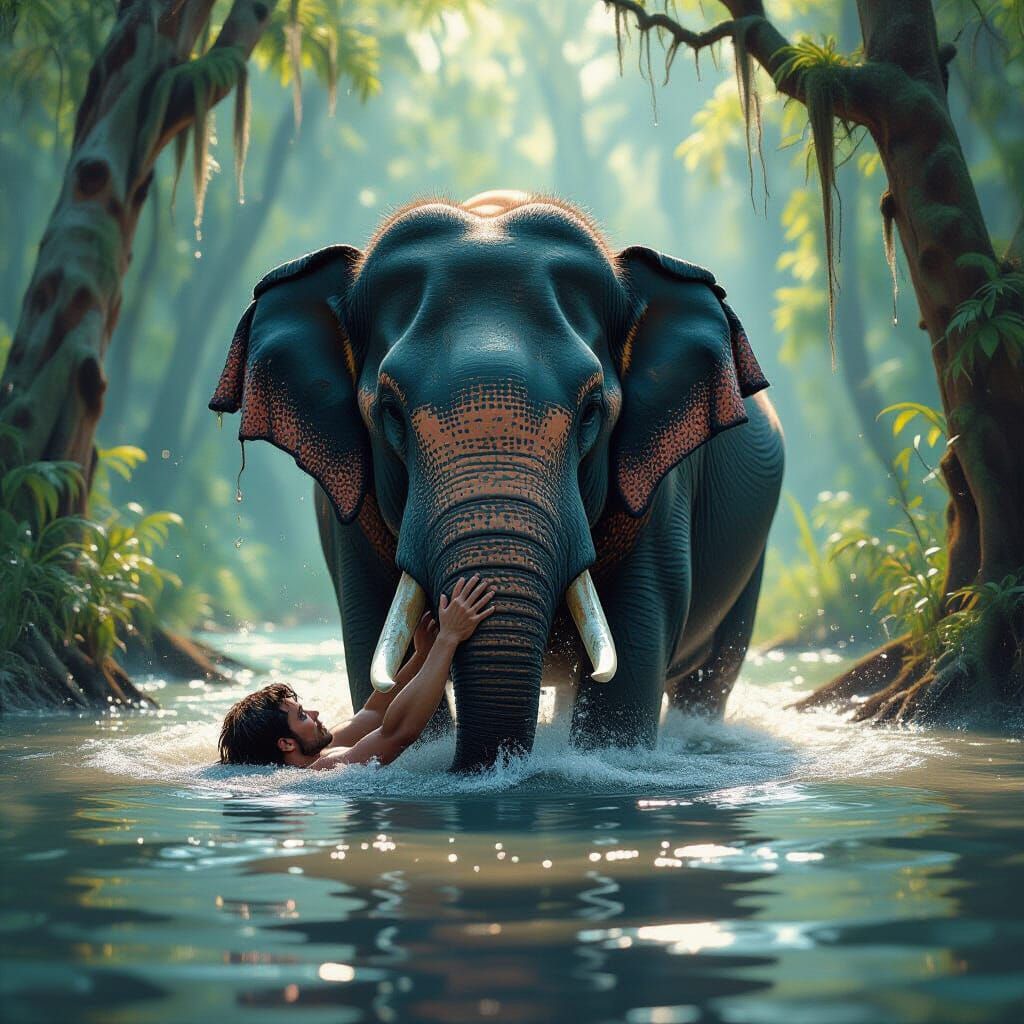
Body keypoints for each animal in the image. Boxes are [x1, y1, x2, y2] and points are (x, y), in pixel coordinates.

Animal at [210, 189, 784, 771]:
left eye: (592, 411)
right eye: (390, 412)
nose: (458, 605)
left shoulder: (657, 493)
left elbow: (637, 636)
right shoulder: (349, 510)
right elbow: (371, 630)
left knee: (711, 673)